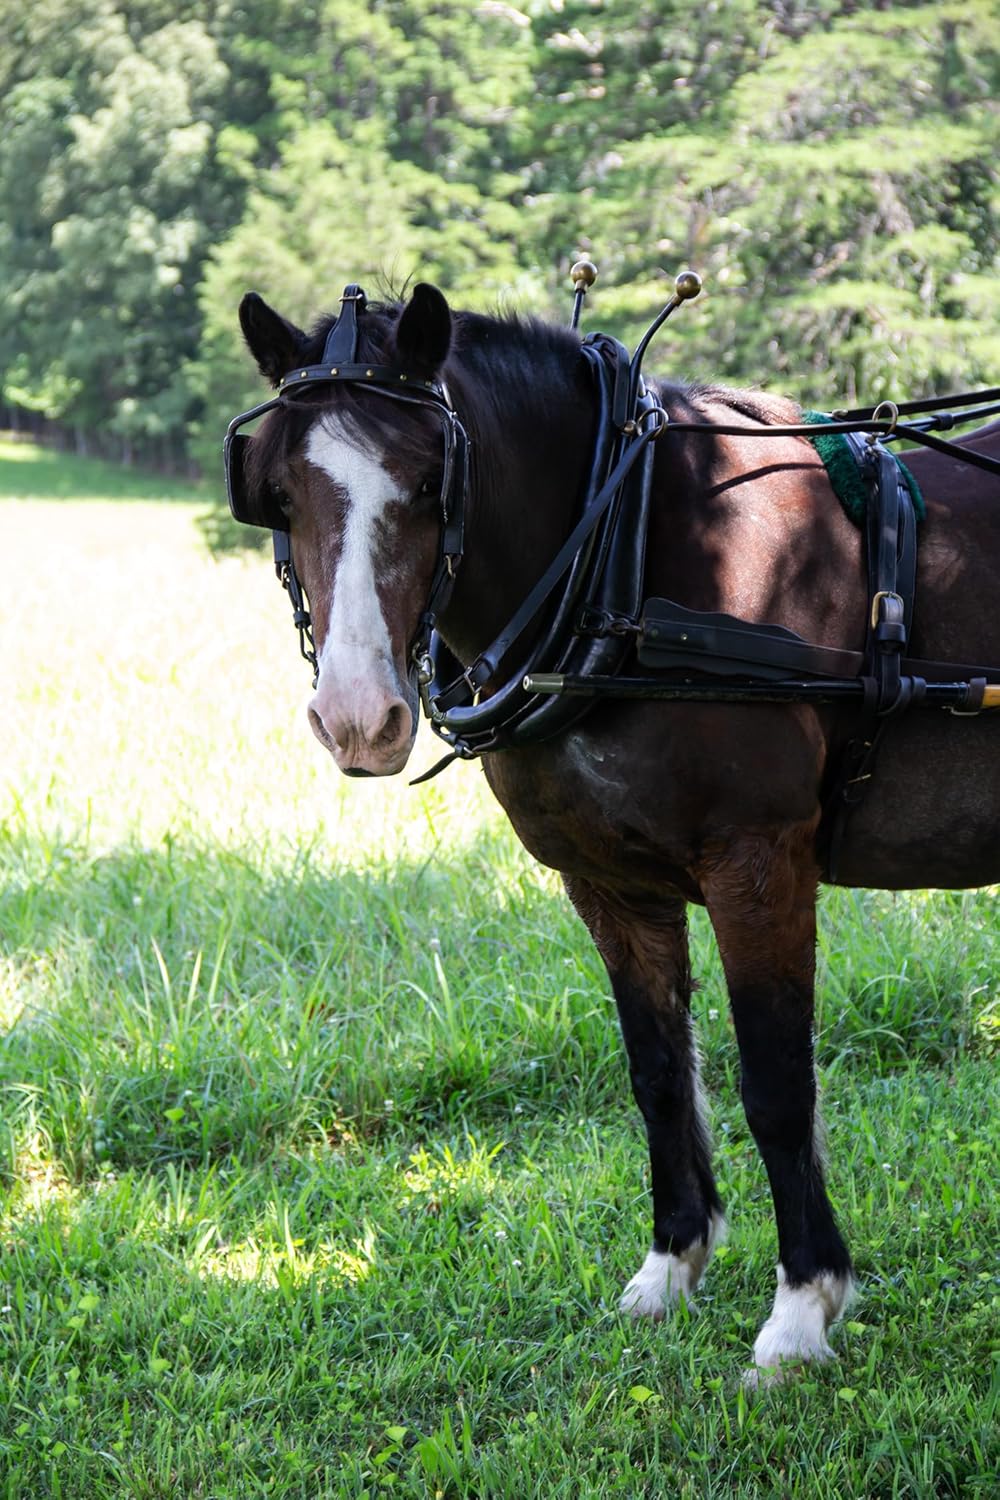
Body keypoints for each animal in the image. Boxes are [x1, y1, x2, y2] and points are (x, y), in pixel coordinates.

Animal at [227, 277, 1000, 1380]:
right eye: (278, 493)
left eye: (430, 481)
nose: (358, 717)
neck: (627, 564)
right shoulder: (608, 885)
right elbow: (656, 1073)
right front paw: (671, 1267)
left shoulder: (759, 865)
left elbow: (776, 1086)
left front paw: (801, 1310)